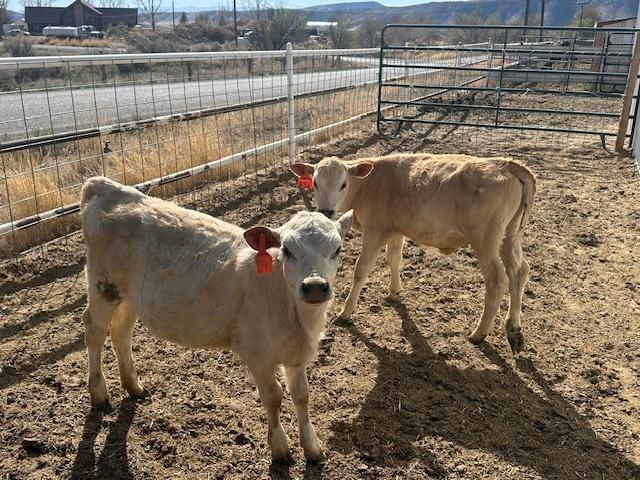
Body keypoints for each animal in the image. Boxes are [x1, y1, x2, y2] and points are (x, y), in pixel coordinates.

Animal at [79, 176, 353, 463]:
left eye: (338, 249)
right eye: (287, 250)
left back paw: (133, 386)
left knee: (120, 332)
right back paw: (99, 394)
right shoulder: (256, 352)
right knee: (94, 332)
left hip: (130, 297)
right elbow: (273, 396)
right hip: (102, 286)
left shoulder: (296, 353)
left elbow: (302, 395)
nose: (314, 286)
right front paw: (279, 448)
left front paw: (312, 447)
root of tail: (106, 186)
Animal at [290, 153, 536, 354]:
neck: (370, 184)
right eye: (315, 183)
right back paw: (514, 329)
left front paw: (345, 312)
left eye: (343, 184)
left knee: (497, 279)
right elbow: (394, 259)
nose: (326, 211)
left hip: (485, 239)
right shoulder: (395, 230)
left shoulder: (375, 230)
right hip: (510, 236)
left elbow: (361, 270)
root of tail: (508, 165)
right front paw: (394, 292)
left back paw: (479, 333)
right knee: (519, 271)